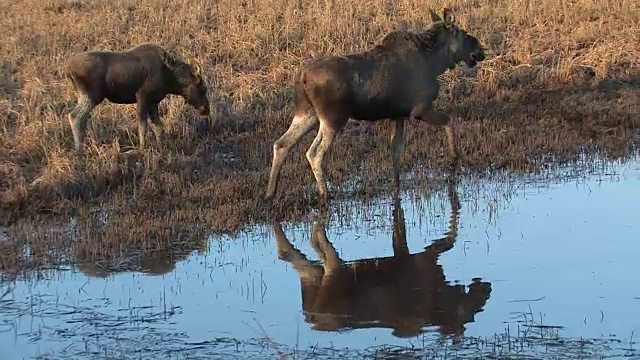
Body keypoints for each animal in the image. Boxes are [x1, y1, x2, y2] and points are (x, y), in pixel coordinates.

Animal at [66, 43, 214, 151]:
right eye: (202, 89)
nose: (206, 110)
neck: (169, 77)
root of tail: (68, 70)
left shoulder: (154, 102)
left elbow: (158, 126)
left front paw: (161, 147)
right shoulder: (142, 98)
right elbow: (143, 127)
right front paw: (142, 148)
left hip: (85, 96)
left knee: (80, 118)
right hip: (92, 96)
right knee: (75, 116)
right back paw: (79, 150)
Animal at [264, 7, 484, 202]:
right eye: (464, 34)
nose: (480, 51)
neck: (436, 62)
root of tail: (302, 77)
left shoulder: (398, 115)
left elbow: (396, 152)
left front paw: (396, 188)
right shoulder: (419, 109)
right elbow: (449, 120)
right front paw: (453, 160)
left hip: (307, 113)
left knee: (281, 144)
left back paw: (270, 193)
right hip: (332, 118)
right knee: (314, 153)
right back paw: (325, 195)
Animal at [272, 179, 492, 340]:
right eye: (467, 315)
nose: (487, 288)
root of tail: (310, 314)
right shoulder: (426, 259)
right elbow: (450, 238)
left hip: (314, 278)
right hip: (333, 275)